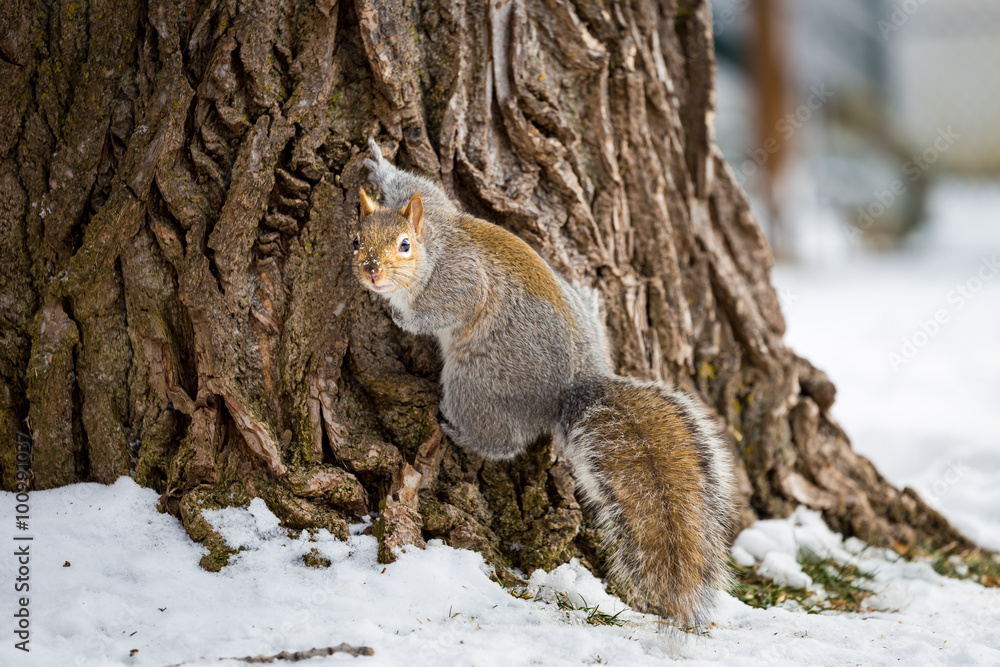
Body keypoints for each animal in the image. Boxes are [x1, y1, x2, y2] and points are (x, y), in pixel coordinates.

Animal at [351, 139, 738, 626]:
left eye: (404, 246)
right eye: (355, 239)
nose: (371, 271)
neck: (433, 247)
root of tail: (573, 386)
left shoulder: (459, 282)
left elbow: (438, 312)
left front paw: (399, 316)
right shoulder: (438, 210)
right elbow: (421, 186)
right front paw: (380, 166)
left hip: (477, 383)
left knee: (503, 441)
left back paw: (458, 431)